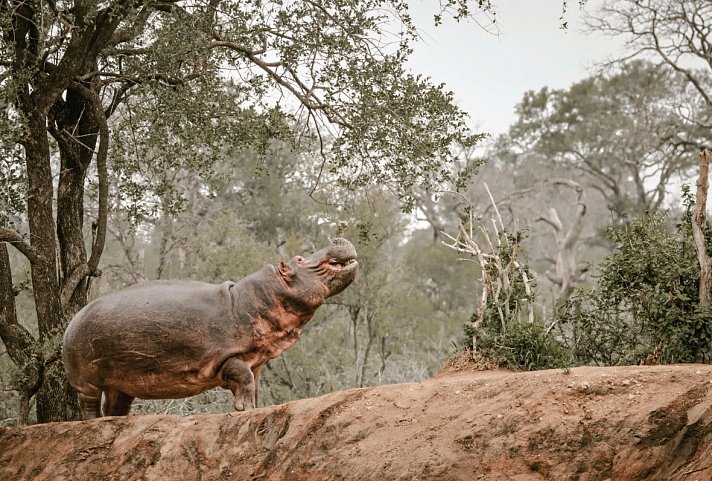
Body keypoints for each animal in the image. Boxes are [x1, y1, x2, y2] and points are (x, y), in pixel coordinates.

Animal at [63, 238, 358, 418]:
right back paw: (94, 422)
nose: (336, 238)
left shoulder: (255, 361)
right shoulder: (227, 358)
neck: (266, 295)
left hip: (121, 379)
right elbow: (244, 379)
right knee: (88, 404)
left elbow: (254, 385)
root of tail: (71, 322)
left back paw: (120, 421)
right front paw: (243, 410)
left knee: (116, 404)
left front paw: (255, 409)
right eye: (299, 259)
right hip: (86, 378)